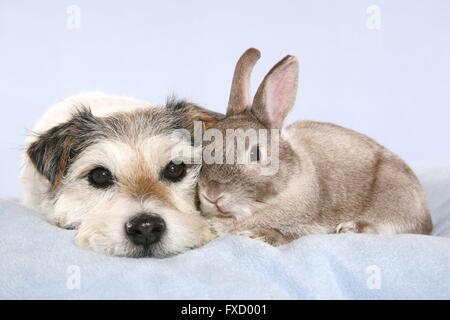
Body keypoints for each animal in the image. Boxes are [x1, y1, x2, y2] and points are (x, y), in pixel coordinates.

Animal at [198, 47, 432, 245]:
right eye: (205, 145)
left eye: (256, 153)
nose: (211, 193)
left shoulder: (310, 226)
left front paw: (258, 235)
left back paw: (350, 228)